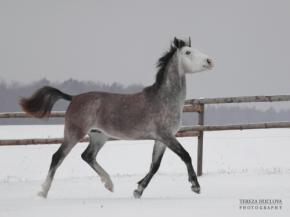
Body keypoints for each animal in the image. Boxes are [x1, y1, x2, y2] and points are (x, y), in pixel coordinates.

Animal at [19, 37, 213, 198]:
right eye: (188, 52)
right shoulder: (166, 136)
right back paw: (43, 192)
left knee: (88, 156)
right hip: (74, 133)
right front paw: (195, 186)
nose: (210, 61)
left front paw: (138, 190)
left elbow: (154, 165)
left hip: (98, 136)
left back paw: (109, 184)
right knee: (57, 157)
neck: (164, 99)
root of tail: (73, 98)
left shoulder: (162, 139)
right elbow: (186, 156)